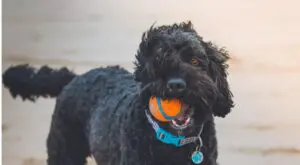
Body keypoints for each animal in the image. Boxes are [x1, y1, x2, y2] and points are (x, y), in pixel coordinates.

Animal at [1, 21, 234, 164]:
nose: (176, 84)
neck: (171, 142)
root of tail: (76, 77)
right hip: (64, 151)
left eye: (194, 61)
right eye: (158, 61)